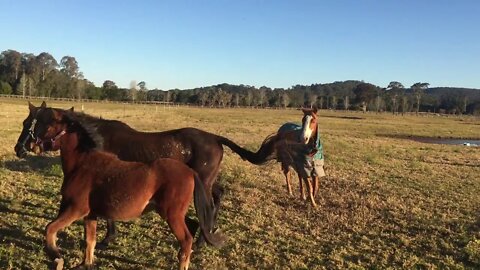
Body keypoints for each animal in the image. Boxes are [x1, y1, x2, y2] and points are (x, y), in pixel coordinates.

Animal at [14, 103, 278, 247]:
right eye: (25, 121)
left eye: (32, 124)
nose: (19, 148)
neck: (96, 139)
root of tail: (215, 138)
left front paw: (107, 239)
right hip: (206, 180)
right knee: (218, 197)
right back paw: (208, 232)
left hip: (202, 180)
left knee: (210, 204)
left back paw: (203, 238)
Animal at [29, 106, 224, 268]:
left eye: (47, 125)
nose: (30, 145)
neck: (83, 163)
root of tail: (190, 172)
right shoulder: (91, 214)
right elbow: (89, 241)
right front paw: (85, 264)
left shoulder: (76, 209)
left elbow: (50, 229)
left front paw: (56, 255)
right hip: (172, 213)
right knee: (192, 227)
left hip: (172, 214)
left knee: (186, 240)